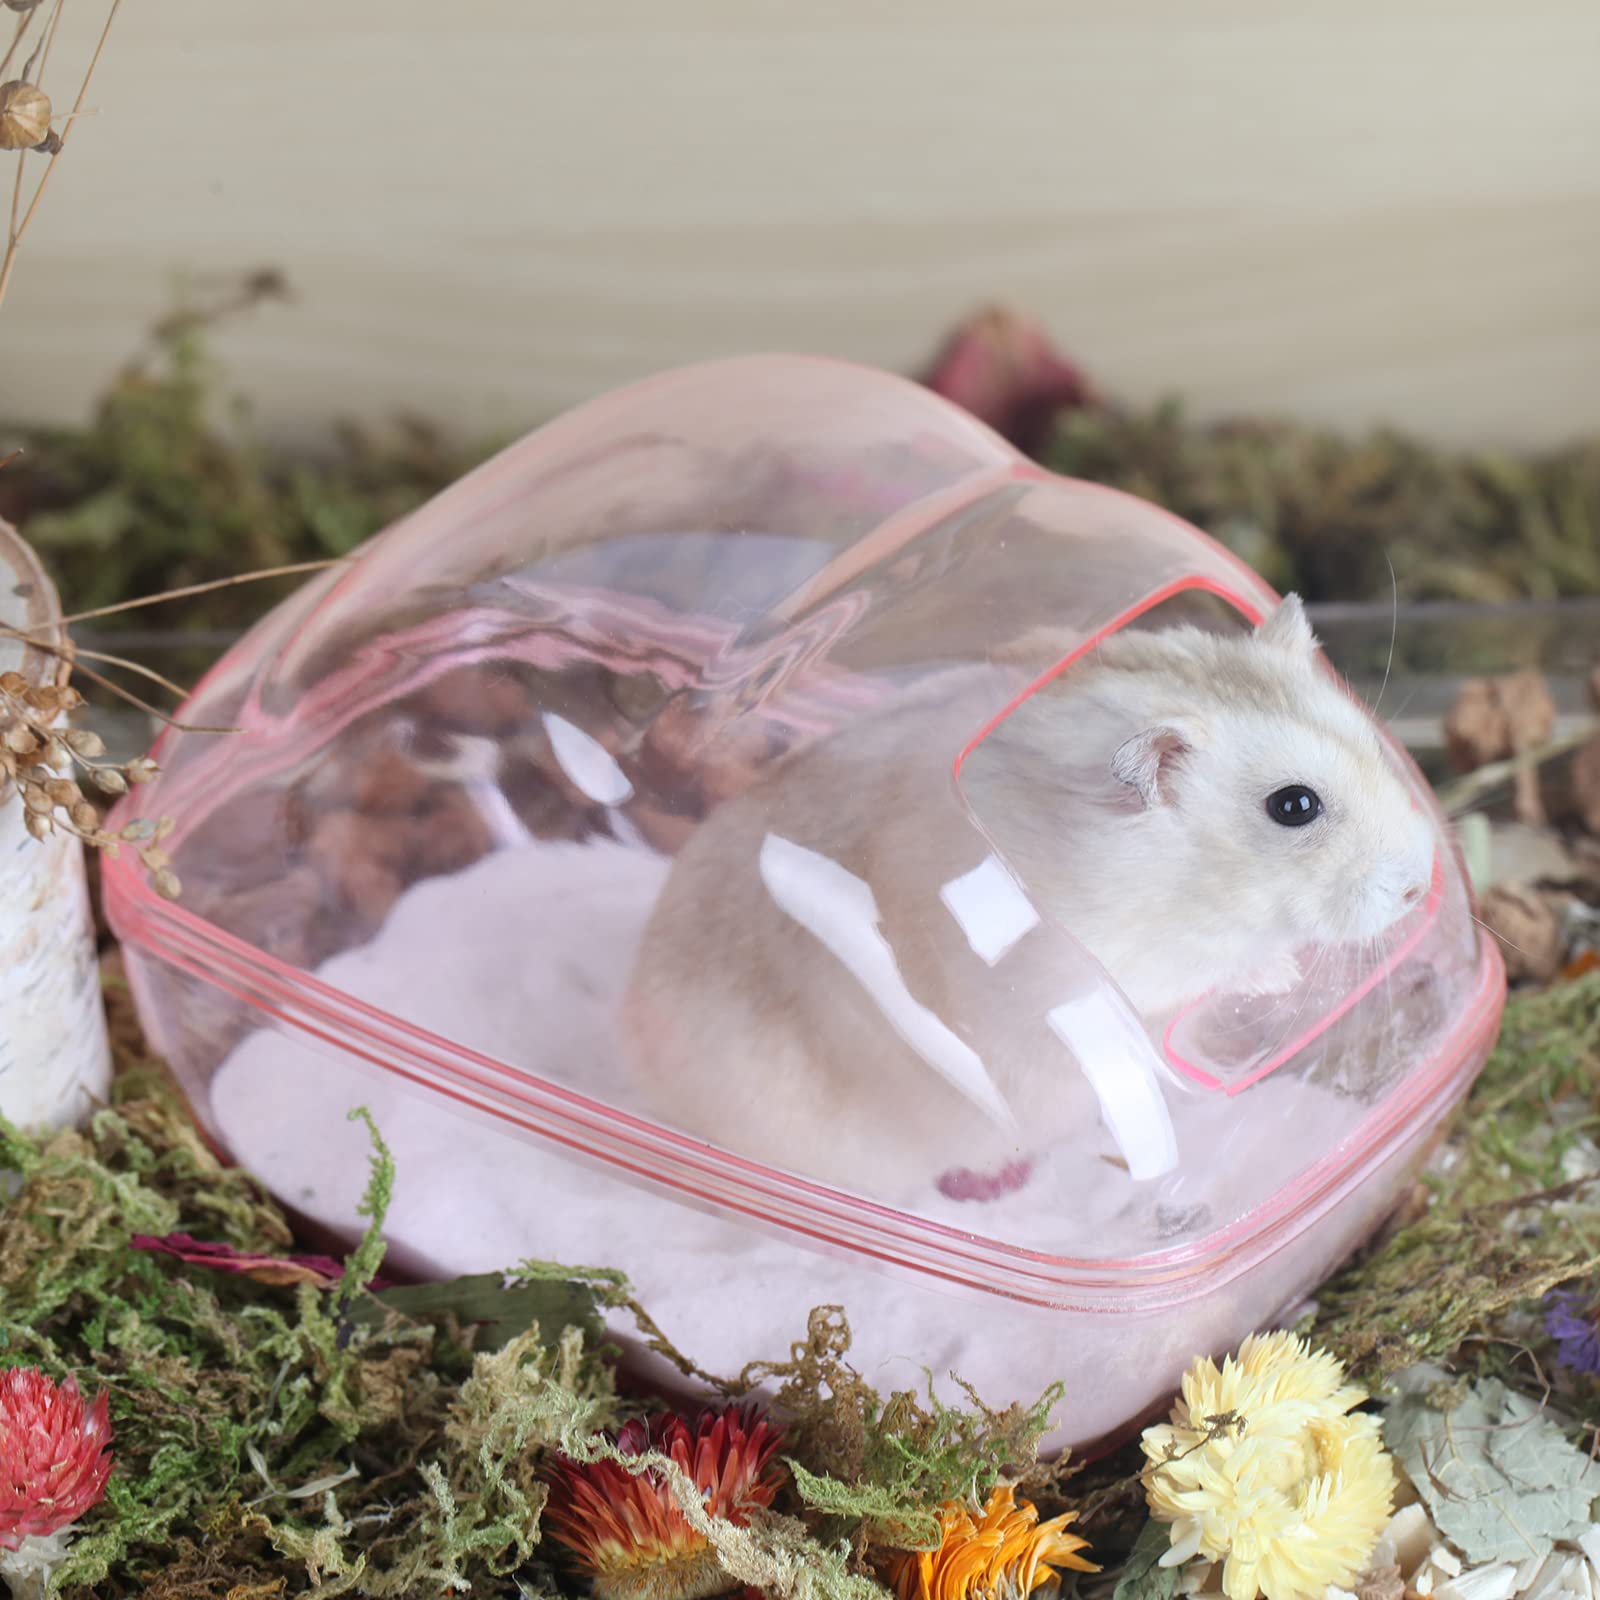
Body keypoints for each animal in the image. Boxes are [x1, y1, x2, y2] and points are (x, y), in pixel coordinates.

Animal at [617, 595, 1437, 1200]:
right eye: (1294, 807)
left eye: (1370, 738)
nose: (1421, 883)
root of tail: (643, 1062)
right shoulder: (1106, 969)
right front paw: (1280, 973)